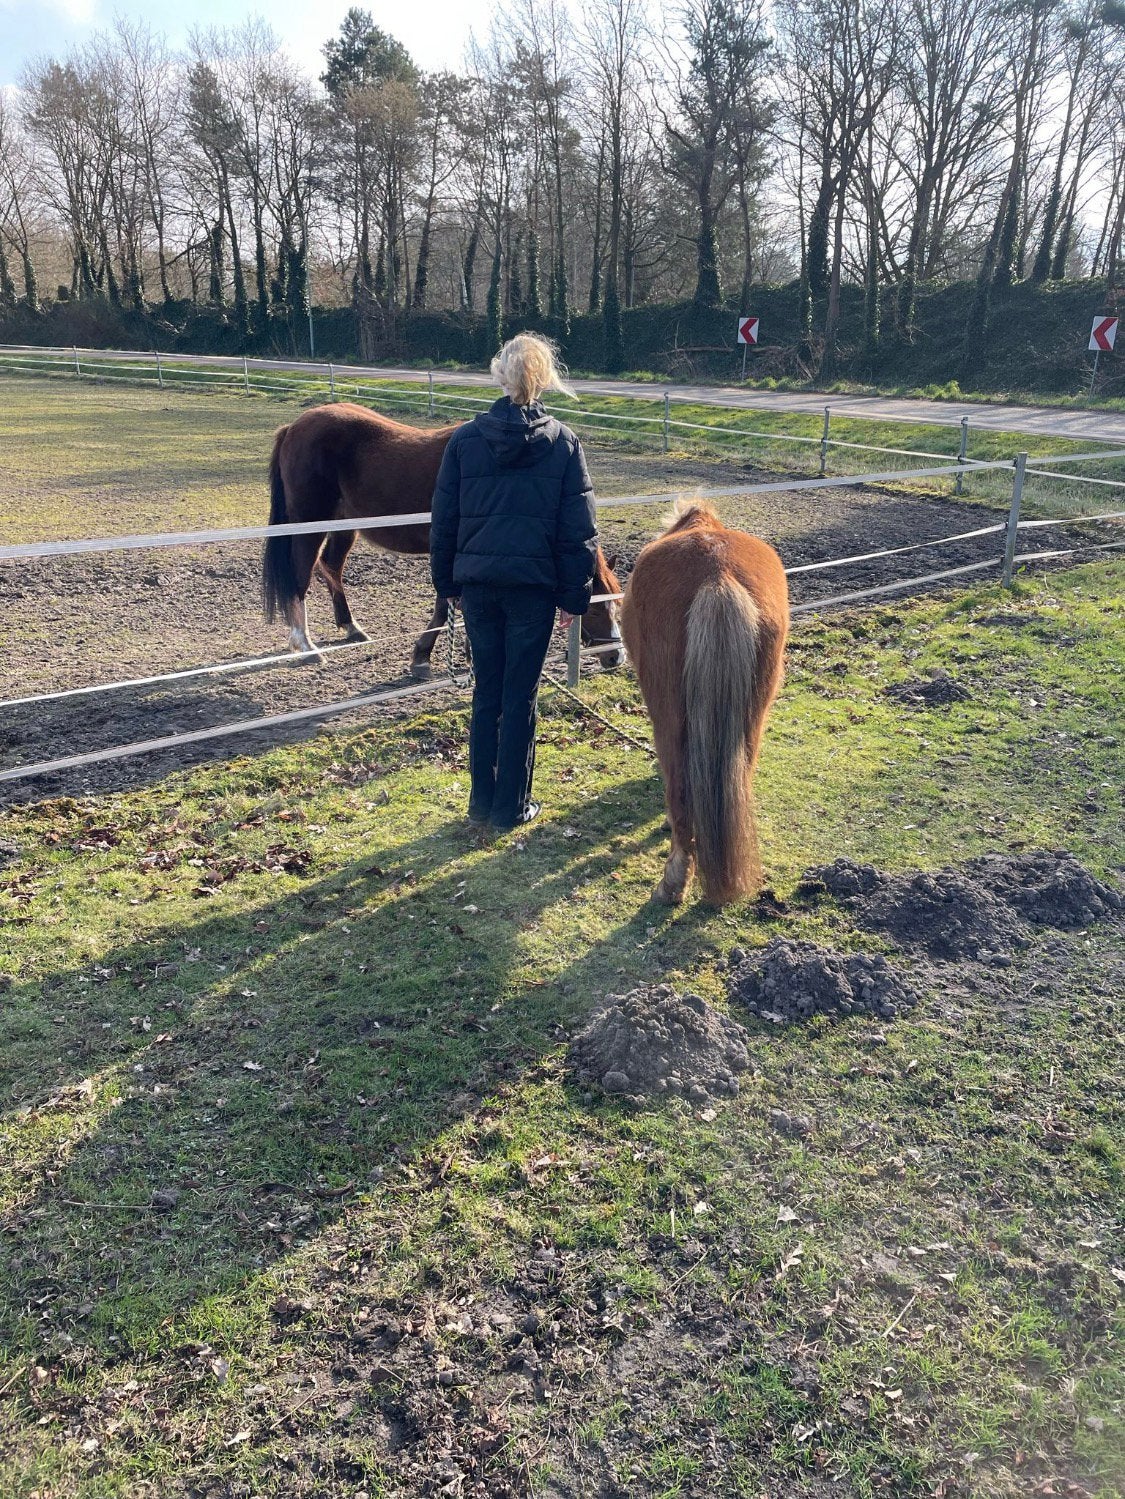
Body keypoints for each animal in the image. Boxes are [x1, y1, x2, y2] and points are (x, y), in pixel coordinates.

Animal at [261, 401, 625, 675]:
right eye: (595, 607)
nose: (616, 657)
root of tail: (293, 427)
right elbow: (443, 606)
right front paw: (423, 657)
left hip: (344, 525)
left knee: (331, 567)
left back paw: (351, 627)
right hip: (308, 525)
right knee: (300, 576)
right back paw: (305, 646)